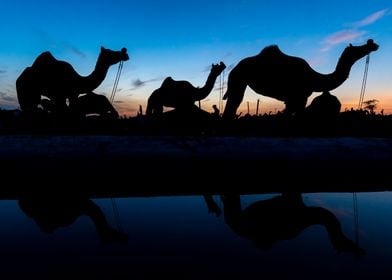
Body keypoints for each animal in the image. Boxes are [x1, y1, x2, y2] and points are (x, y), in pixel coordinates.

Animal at [224, 39, 380, 118]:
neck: (314, 77)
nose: (373, 44)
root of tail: (234, 67)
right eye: (357, 48)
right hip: (237, 79)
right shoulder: (299, 96)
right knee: (233, 103)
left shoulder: (292, 99)